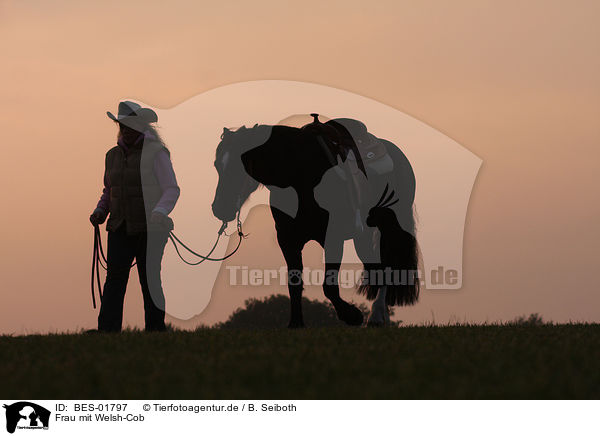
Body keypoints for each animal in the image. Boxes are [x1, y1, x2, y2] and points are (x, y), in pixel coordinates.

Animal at [213, 116, 420, 328]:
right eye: (217, 165)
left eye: (241, 165)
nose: (220, 208)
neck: (300, 176)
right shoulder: (287, 240)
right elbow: (294, 283)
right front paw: (296, 323)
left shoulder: (333, 238)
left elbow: (329, 286)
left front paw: (351, 315)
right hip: (363, 235)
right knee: (375, 266)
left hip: (390, 226)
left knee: (386, 267)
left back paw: (377, 315)